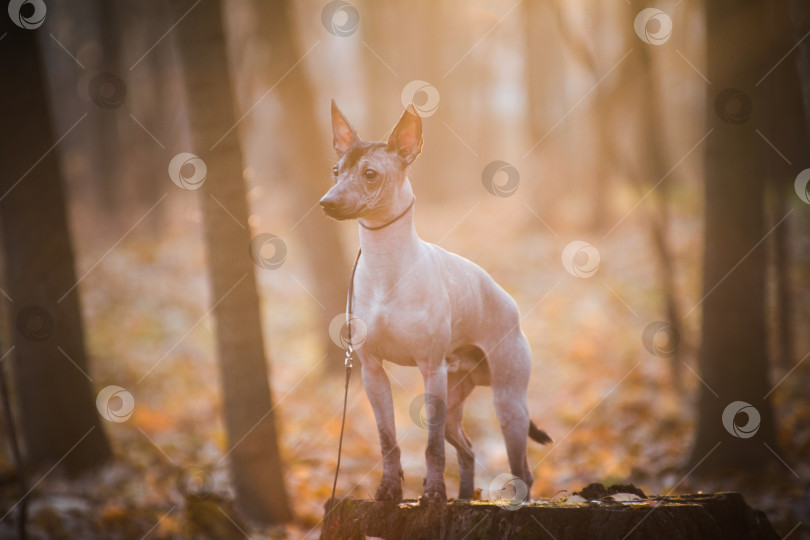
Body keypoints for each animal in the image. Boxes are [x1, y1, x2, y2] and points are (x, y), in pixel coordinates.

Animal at [318, 100, 548, 502]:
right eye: (335, 171)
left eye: (370, 174)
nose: (326, 203)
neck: (386, 266)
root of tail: (509, 303)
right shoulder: (372, 374)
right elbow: (388, 439)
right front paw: (390, 489)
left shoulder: (430, 370)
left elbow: (431, 447)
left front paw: (435, 493)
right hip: (453, 400)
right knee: (467, 450)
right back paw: (465, 496)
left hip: (507, 403)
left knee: (521, 470)